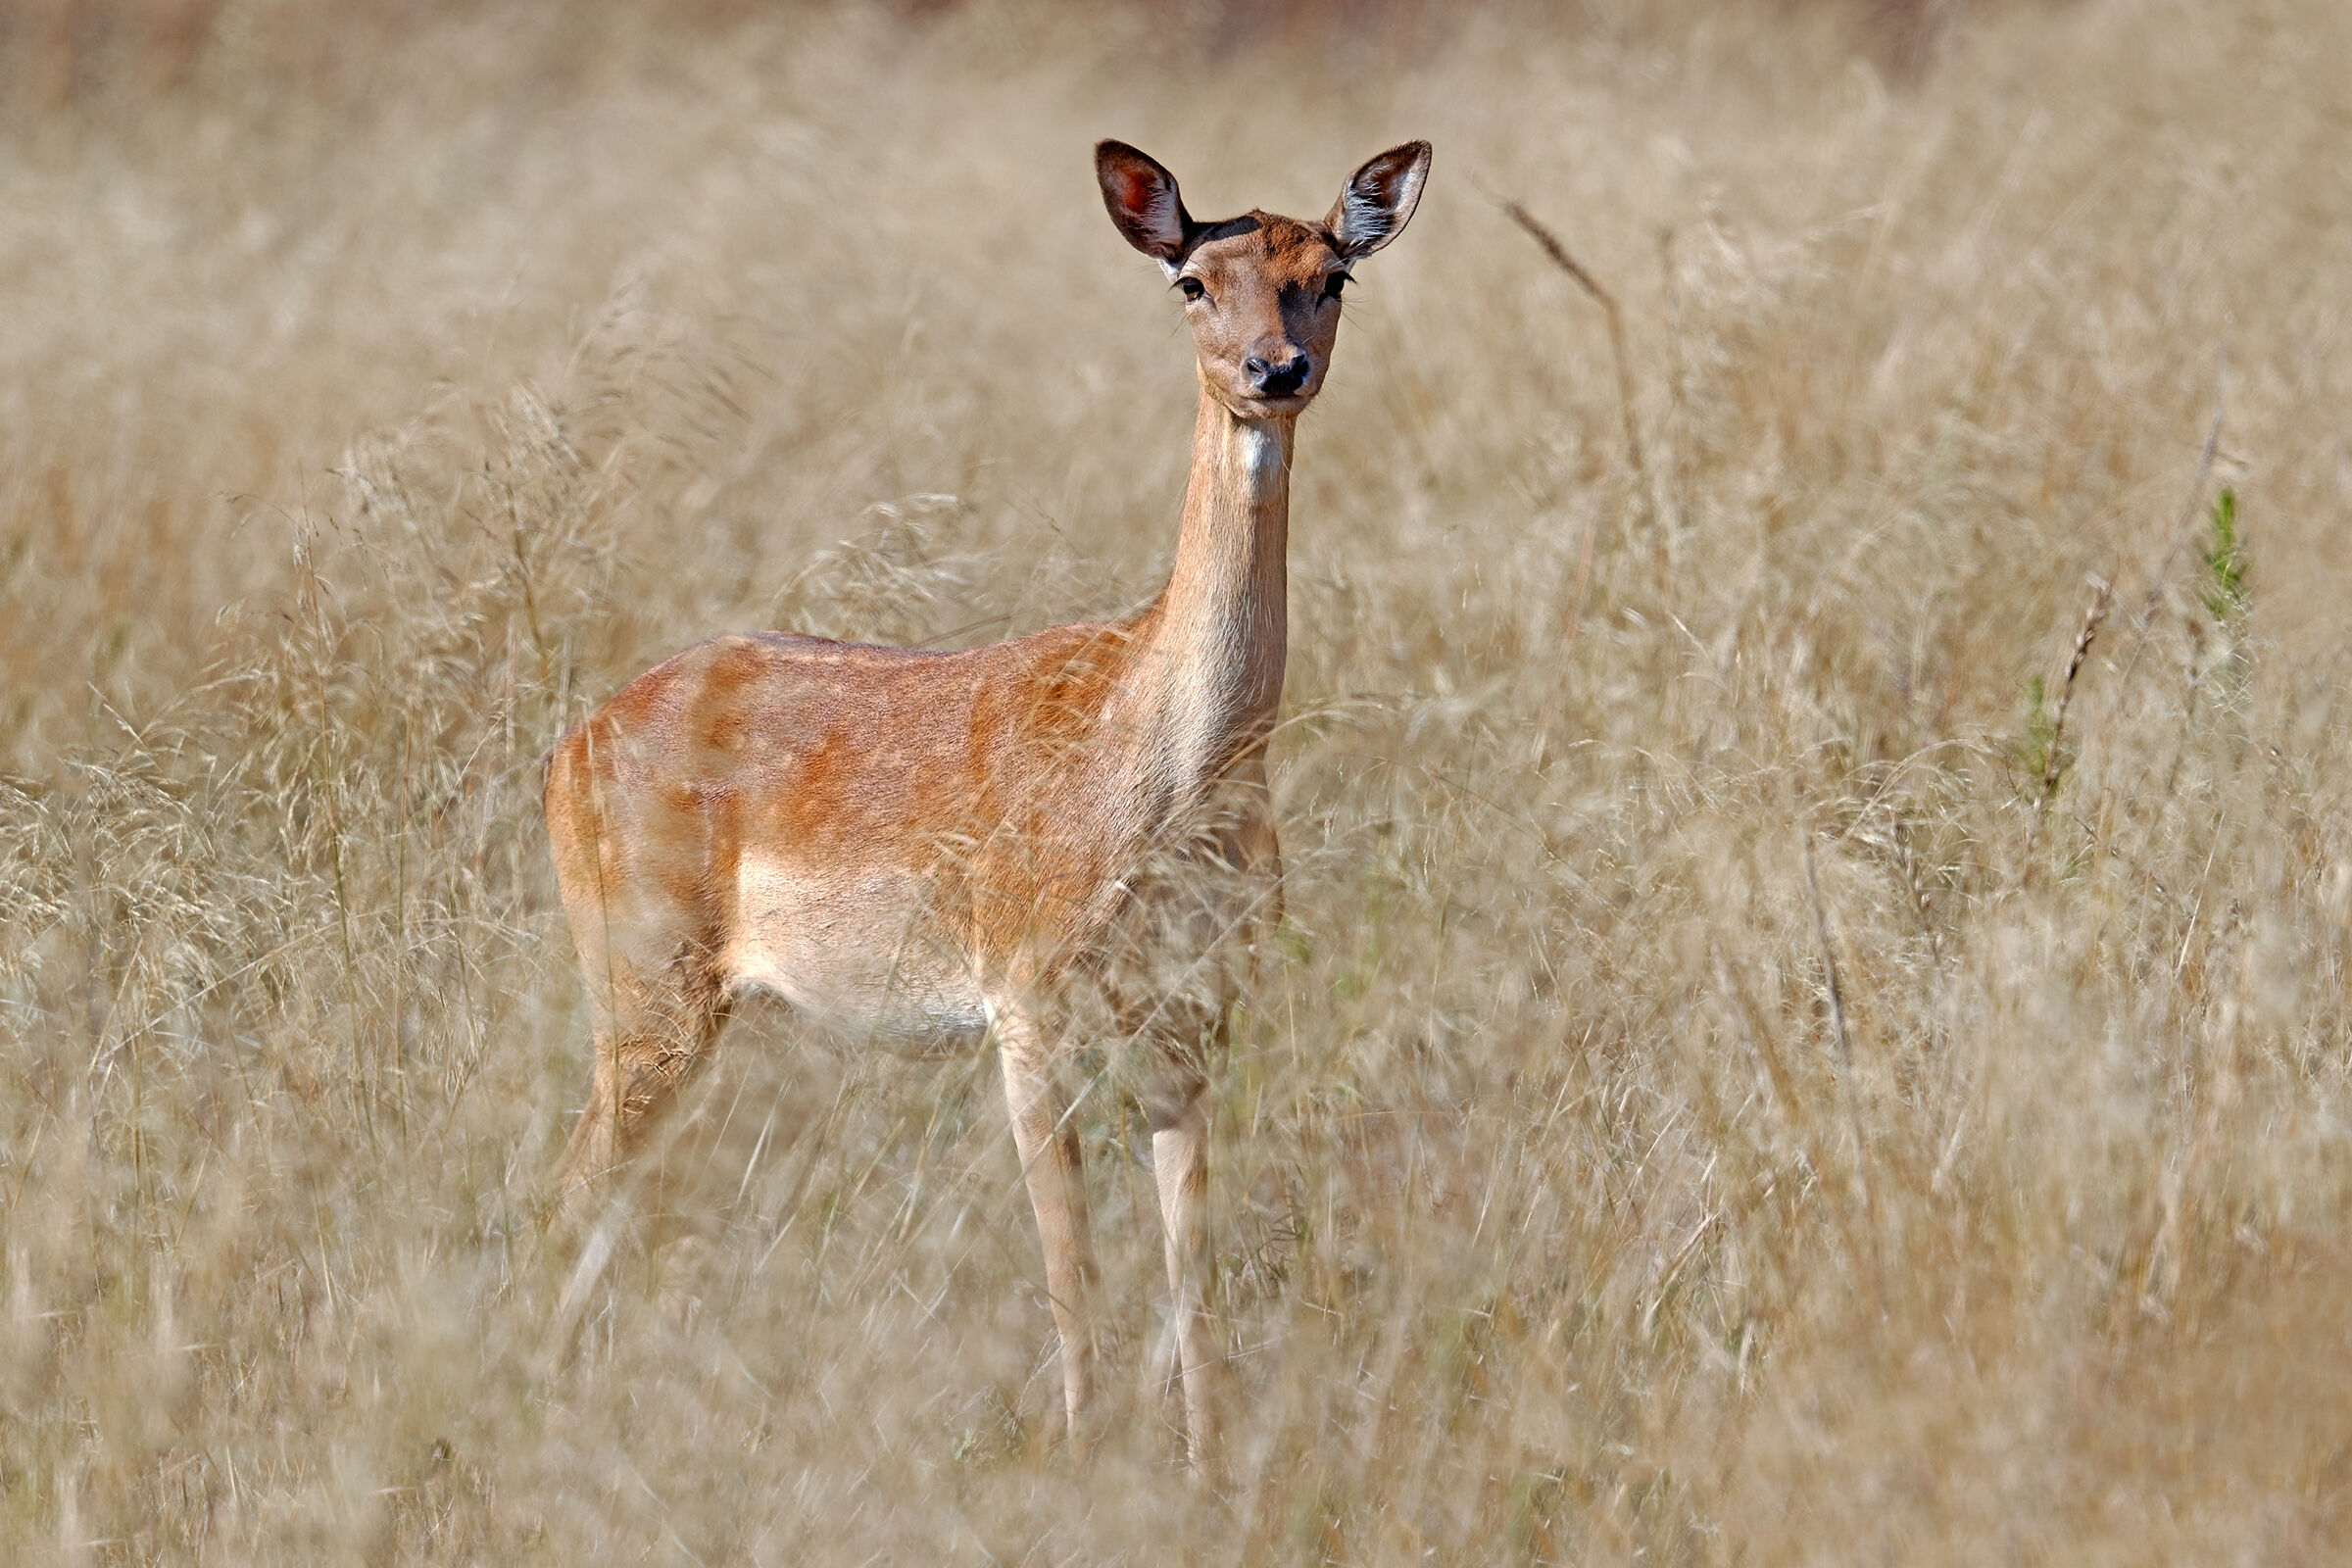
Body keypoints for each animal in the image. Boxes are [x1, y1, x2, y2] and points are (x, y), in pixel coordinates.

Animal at [541, 138, 1431, 1462]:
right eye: (1194, 280)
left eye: (1331, 274)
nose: (1277, 370)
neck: (1161, 776)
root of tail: (564, 751)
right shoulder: (1023, 1001)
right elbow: (1071, 1267)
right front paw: (1077, 1454)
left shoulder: (1194, 1015)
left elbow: (1191, 1261)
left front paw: (1206, 1462)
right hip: (643, 981)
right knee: (574, 1181)